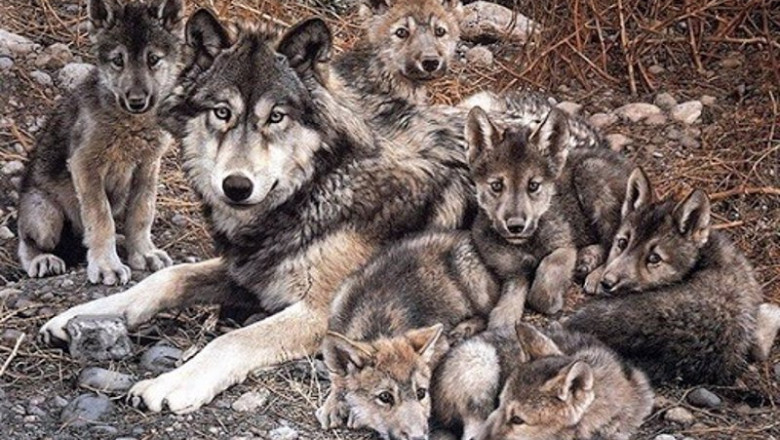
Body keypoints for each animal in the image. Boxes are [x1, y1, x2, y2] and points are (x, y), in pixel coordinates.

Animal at [17, 0, 182, 284]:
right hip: (44, 215)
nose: (136, 101)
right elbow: (100, 219)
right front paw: (107, 266)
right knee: (27, 242)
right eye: (118, 60)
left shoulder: (148, 166)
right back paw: (44, 260)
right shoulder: (85, 165)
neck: (130, 125)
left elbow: (142, 214)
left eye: (153, 59)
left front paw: (144, 253)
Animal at [38, 12, 474, 414]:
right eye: (222, 112)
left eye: (276, 117)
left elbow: (231, 339)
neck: (322, 183)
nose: (236, 186)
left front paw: (173, 382)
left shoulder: (323, 312)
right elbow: (165, 278)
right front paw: (81, 315)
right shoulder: (249, 271)